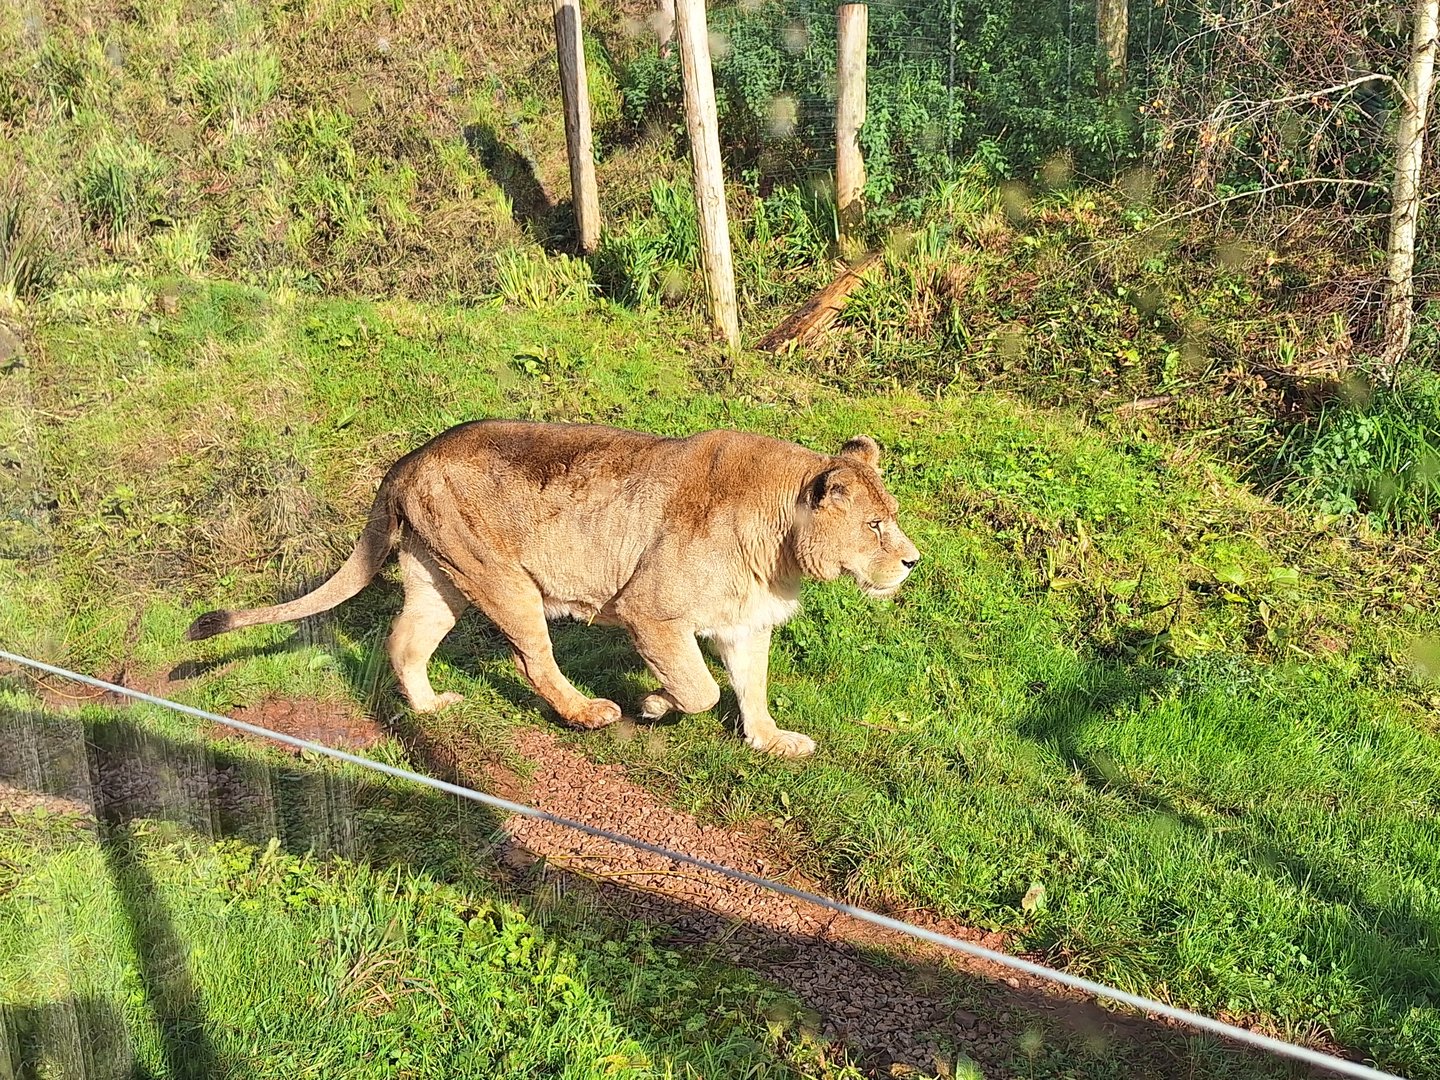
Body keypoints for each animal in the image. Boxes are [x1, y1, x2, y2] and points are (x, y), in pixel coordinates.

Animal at [186, 421, 920, 757]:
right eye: (876, 526)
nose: (913, 561)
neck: (780, 547)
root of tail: (414, 456)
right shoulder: (650, 612)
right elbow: (703, 689)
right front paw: (654, 703)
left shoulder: (745, 623)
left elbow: (751, 688)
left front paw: (771, 741)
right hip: (503, 579)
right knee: (530, 659)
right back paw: (587, 712)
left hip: (440, 577)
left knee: (404, 642)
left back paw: (429, 708)